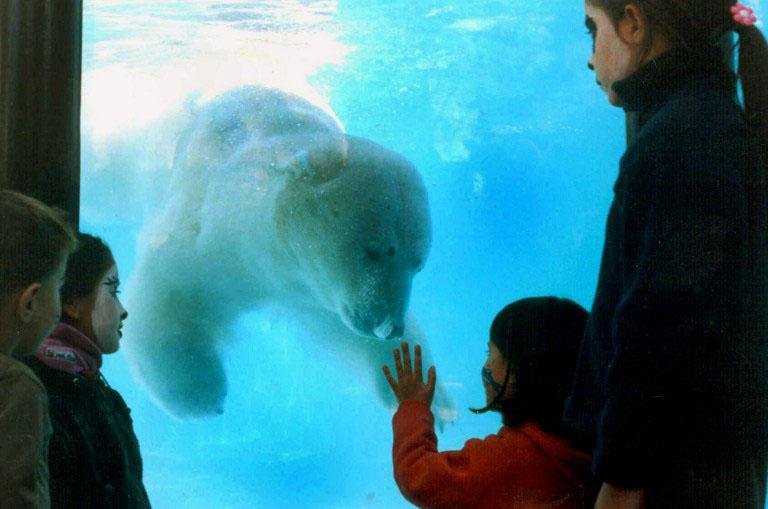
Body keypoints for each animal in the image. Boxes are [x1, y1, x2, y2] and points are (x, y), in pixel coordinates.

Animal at [123, 85, 455, 425]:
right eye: (372, 251)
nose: (389, 326)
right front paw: (201, 396)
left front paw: (434, 402)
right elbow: (165, 294)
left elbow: (343, 331)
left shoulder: (310, 292)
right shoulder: (210, 235)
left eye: (417, 265)